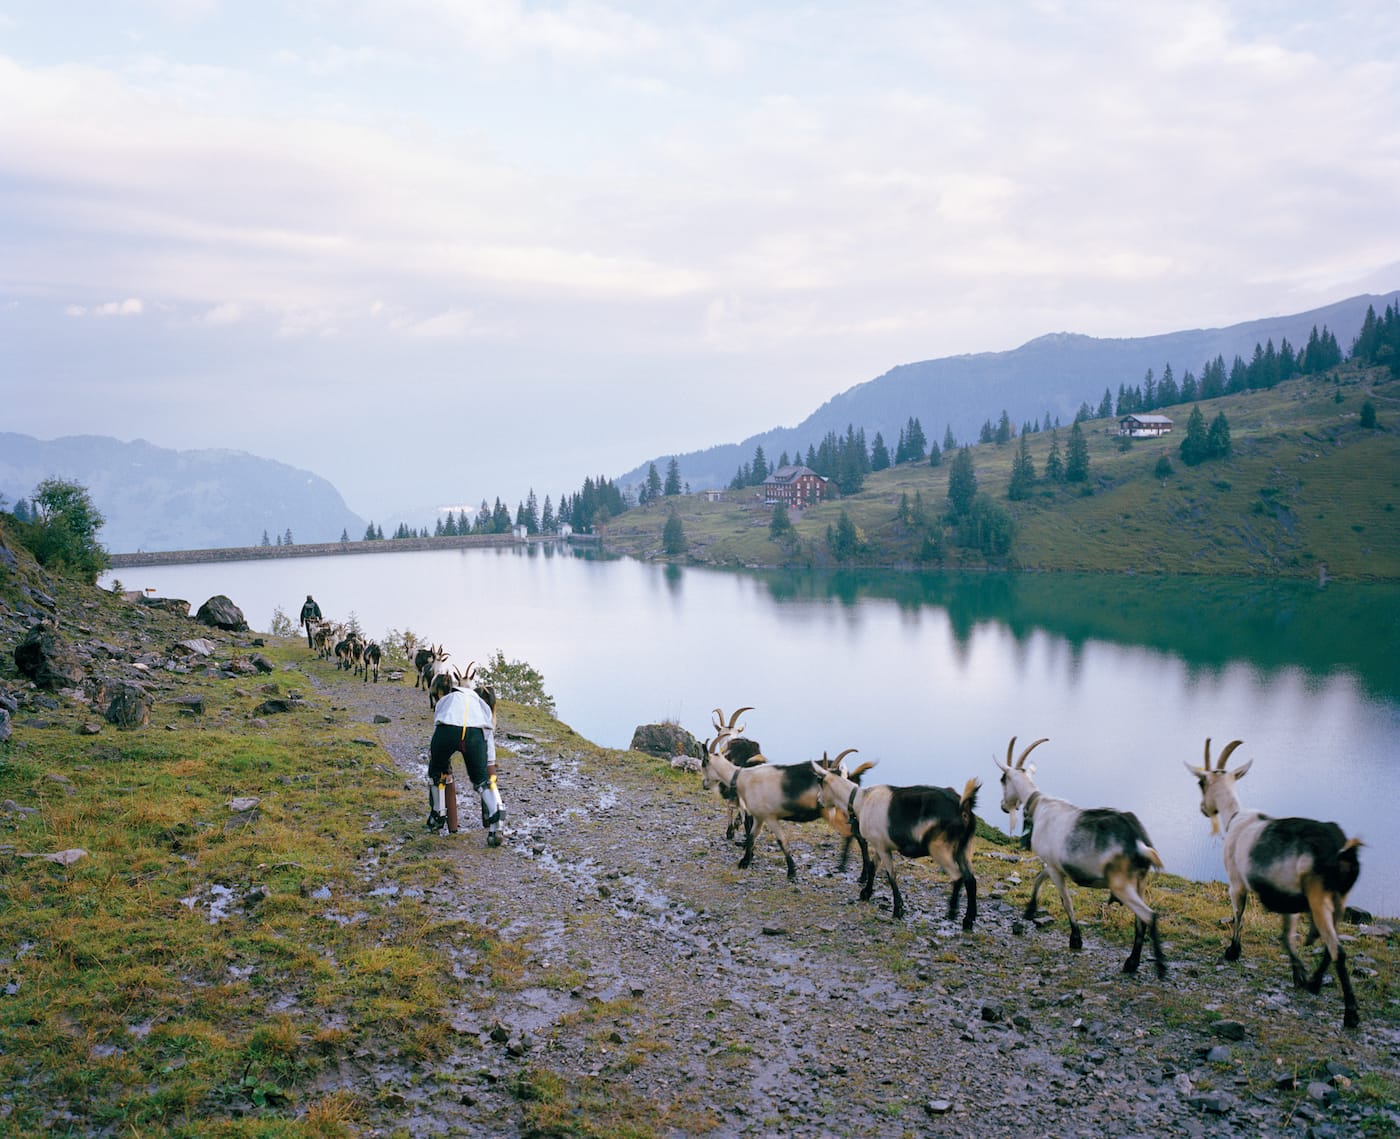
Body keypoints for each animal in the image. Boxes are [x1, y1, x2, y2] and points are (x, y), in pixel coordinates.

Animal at [811, 762, 981, 926]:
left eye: (820, 781)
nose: (818, 800)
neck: (861, 800)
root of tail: (962, 807)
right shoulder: (879, 844)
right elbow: (873, 867)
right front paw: (865, 893)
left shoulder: (882, 847)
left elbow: (891, 874)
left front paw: (898, 909)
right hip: (963, 848)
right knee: (970, 879)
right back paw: (968, 920)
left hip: (939, 848)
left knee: (958, 876)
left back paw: (952, 913)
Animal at [996, 737, 1167, 978]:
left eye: (1003, 779)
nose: (1003, 806)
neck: (1039, 806)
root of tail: (1138, 842)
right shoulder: (1053, 864)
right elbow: (1039, 878)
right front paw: (1029, 910)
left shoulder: (1055, 868)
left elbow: (1066, 901)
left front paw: (1075, 939)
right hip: (1140, 881)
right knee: (1140, 920)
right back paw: (1132, 963)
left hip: (1121, 884)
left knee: (1149, 915)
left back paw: (1157, 966)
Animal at [1185, 738, 1362, 1027]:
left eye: (1201, 783)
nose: (1203, 809)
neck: (1235, 817)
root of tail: (1342, 851)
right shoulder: (1288, 898)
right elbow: (1286, 936)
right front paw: (1299, 975)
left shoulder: (1236, 883)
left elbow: (1239, 915)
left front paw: (1232, 952)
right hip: (1339, 900)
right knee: (1330, 946)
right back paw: (1315, 983)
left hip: (1318, 899)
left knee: (1338, 950)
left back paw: (1351, 1014)